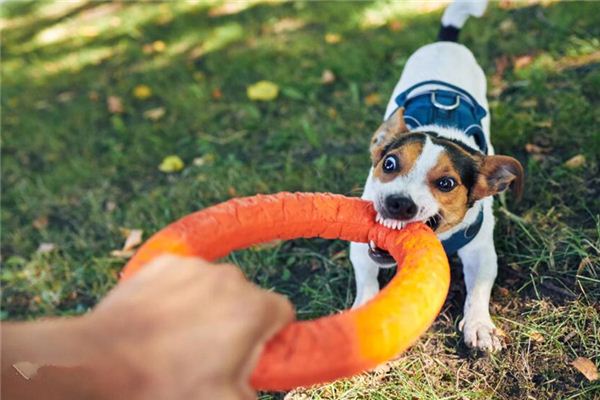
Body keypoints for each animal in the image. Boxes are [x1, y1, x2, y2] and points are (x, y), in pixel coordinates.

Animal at [350, 0, 524, 352]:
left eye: (446, 183)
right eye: (389, 164)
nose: (398, 204)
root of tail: (447, 42)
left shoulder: (480, 251)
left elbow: (479, 289)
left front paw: (479, 325)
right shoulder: (361, 244)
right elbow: (367, 278)